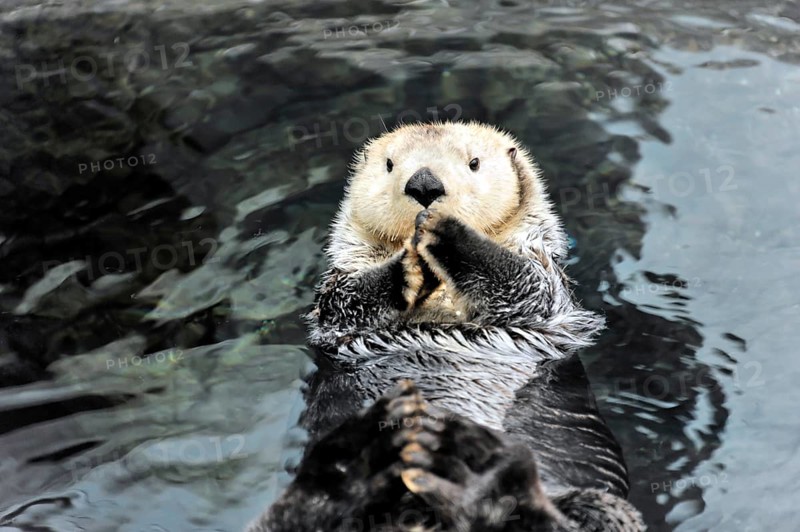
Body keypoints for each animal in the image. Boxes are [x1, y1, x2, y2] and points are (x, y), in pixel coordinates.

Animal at [248, 122, 644, 531]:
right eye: (389, 165)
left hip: (594, 502)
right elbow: (345, 301)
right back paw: (364, 455)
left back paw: (471, 470)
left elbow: (524, 286)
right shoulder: (334, 298)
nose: (424, 185)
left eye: (474, 163)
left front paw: (448, 233)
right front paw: (405, 268)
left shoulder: (547, 284)